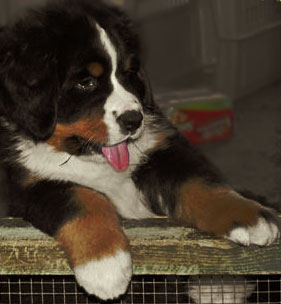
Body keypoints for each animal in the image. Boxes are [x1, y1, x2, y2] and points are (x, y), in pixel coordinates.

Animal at [0, 0, 278, 300]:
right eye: (86, 82)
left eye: (129, 73)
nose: (134, 120)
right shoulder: (29, 186)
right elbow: (81, 197)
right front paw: (105, 265)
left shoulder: (164, 152)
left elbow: (200, 184)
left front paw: (249, 216)